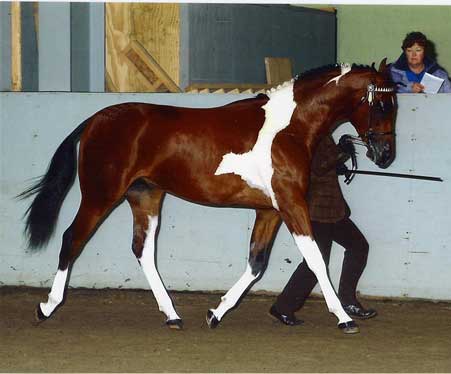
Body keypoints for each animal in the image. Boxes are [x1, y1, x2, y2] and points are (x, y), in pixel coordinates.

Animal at [20, 60, 396, 334]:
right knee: (72, 239)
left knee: (143, 250)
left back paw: (172, 315)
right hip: (100, 196)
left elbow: (256, 263)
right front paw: (344, 318)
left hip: (146, 197)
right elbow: (316, 258)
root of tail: (96, 120)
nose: (385, 155)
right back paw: (46, 307)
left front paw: (215, 313)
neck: (287, 128)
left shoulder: (270, 210)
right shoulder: (291, 204)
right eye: (381, 104)